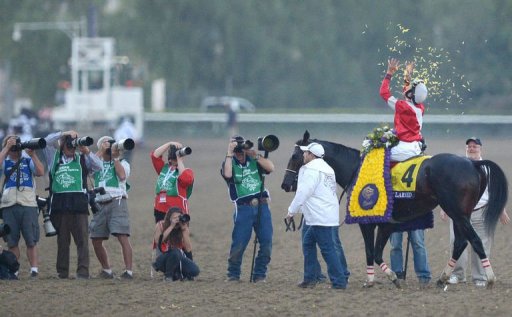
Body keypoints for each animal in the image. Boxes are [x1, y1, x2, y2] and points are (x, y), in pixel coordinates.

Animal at [280, 130, 508, 286]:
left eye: (295, 156)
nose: (285, 184)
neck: (358, 169)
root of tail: (473, 163)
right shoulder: (387, 224)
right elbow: (378, 252)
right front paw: (390, 277)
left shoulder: (367, 222)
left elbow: (371, 251)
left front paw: (374, 280)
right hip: (461, 214)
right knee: (461, 242)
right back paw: (443, 278)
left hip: (457, 213)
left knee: (474, 240)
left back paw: (489, 278)